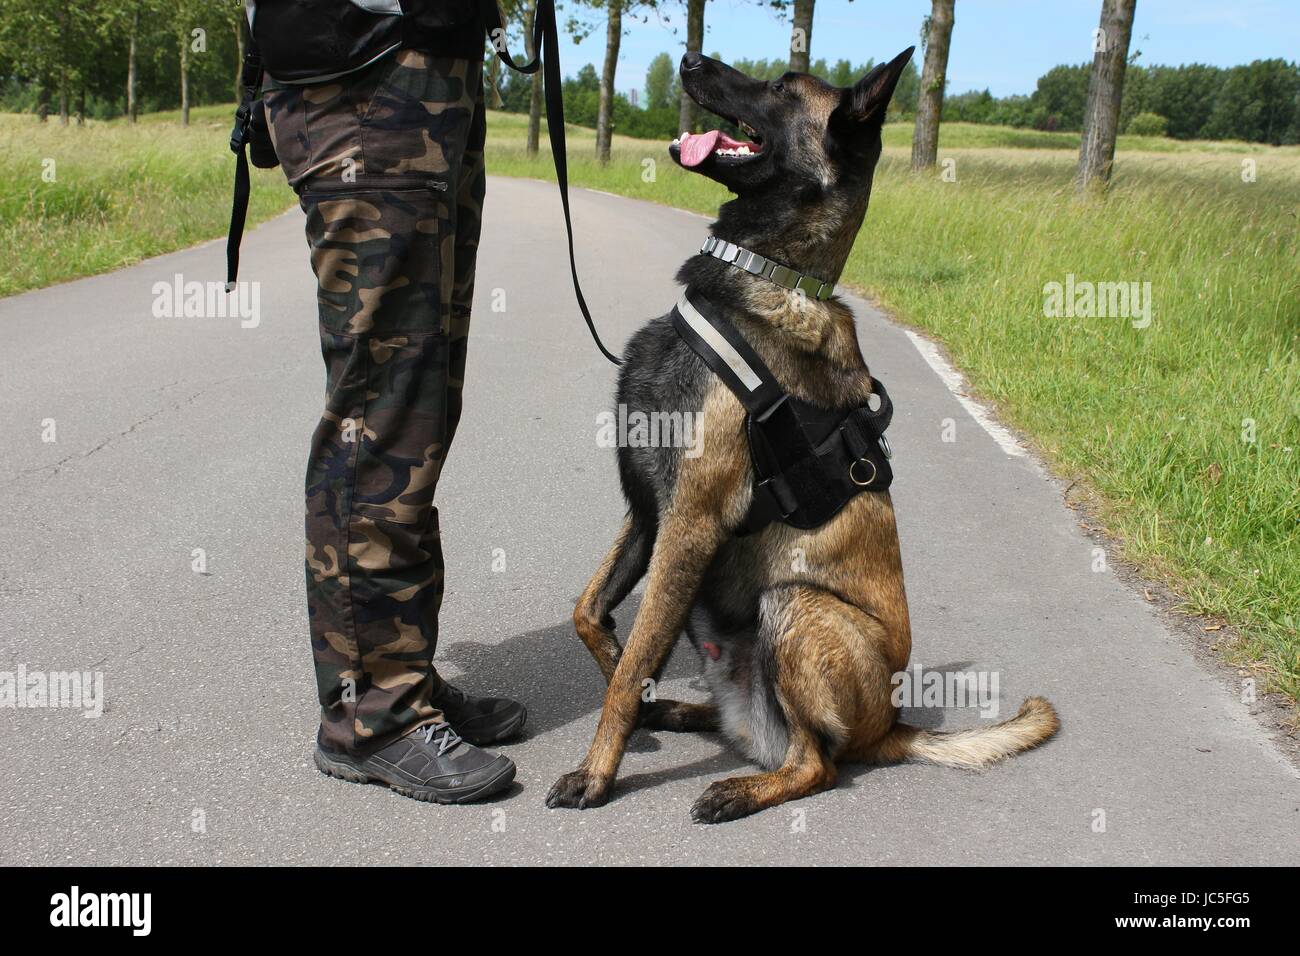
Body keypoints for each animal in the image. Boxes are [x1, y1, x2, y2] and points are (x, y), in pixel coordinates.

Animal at [543, 48, 1060, 822]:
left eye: (783, 88)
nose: (690, 59)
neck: (767, 275)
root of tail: (892, 725)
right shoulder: (649, 511)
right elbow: (593, 618)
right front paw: (625, 685)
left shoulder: (690, 521)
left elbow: (635, 661)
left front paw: (598, 771)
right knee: (758, 729)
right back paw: (683, 714)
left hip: (793, 605)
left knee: (816, 762)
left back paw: (740, 788)